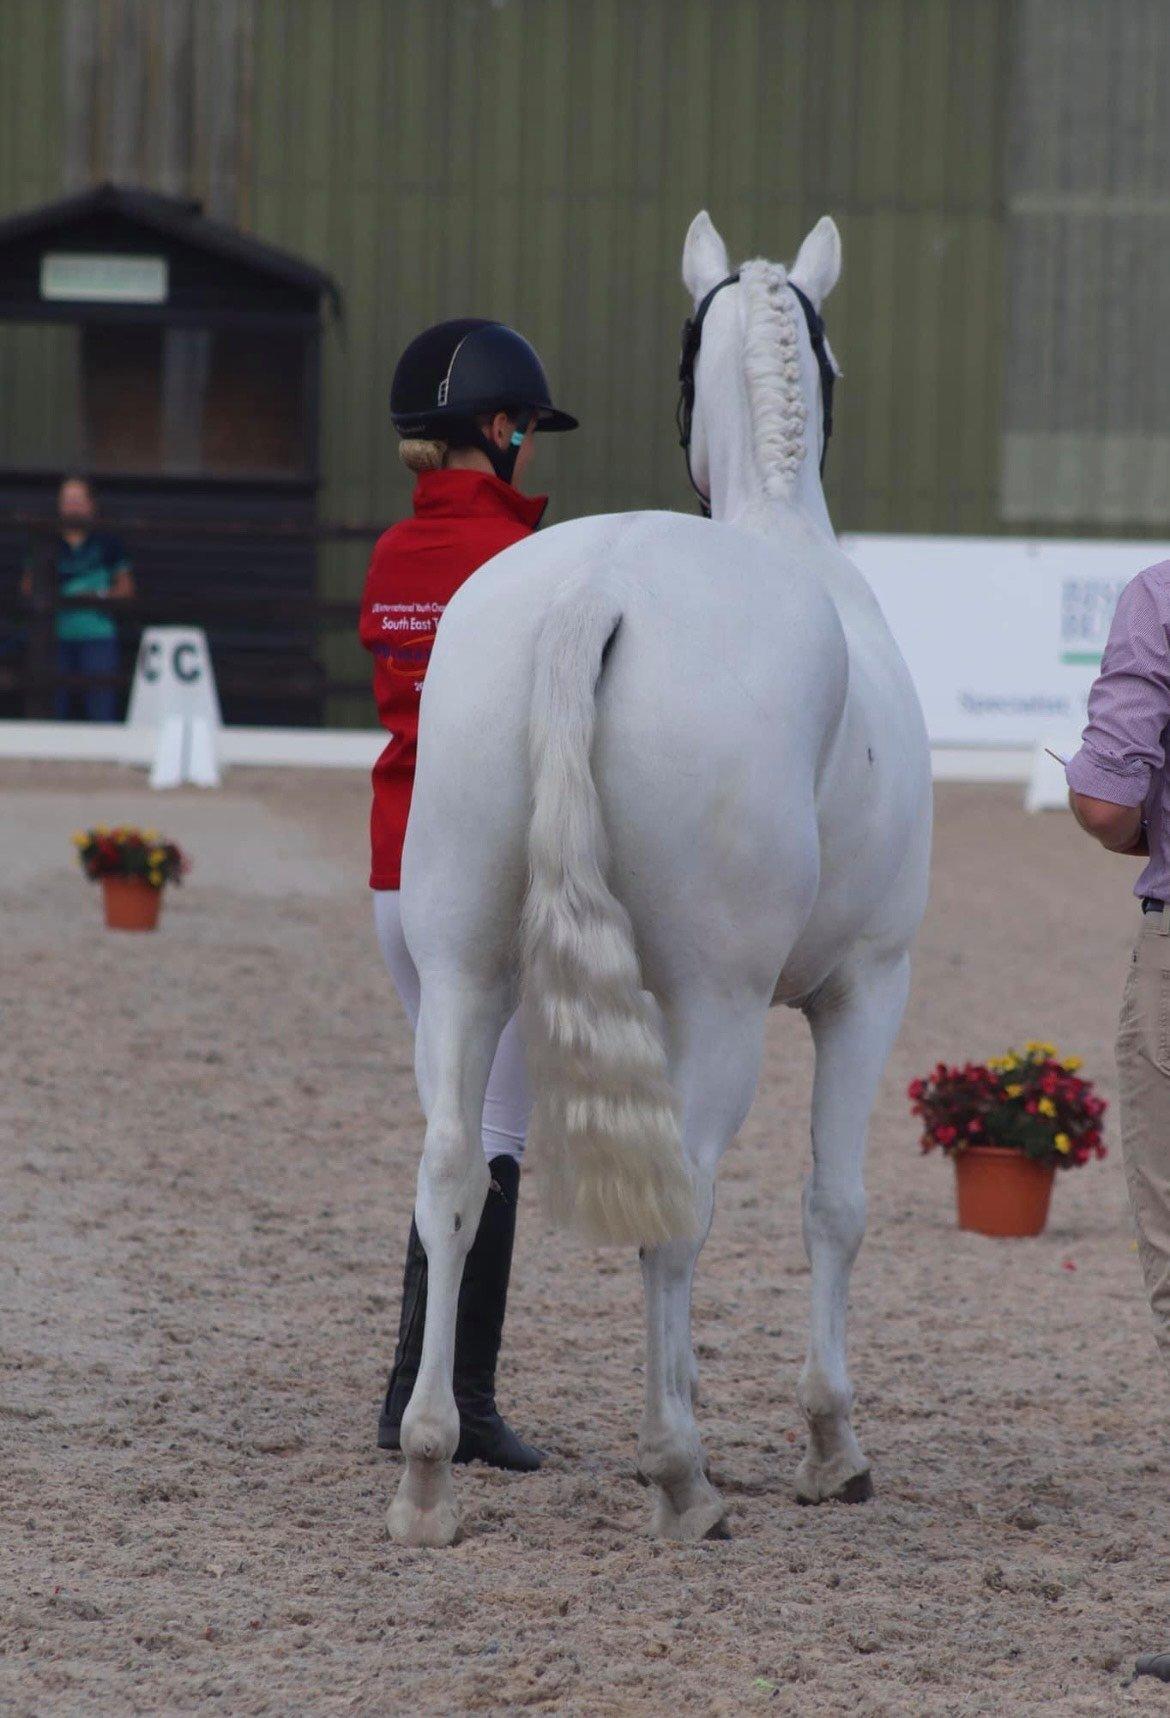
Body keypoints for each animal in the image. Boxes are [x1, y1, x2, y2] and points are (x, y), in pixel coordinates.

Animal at [386, 210, 932, 1547]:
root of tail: (598, 585)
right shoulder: (867, 987)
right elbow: (833, 1201)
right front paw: (830, 1445)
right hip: (717, 1001)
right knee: (680, 1198)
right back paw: (680, 1476)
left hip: (466, 969)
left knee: (452, 1171)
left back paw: (428, 1473)